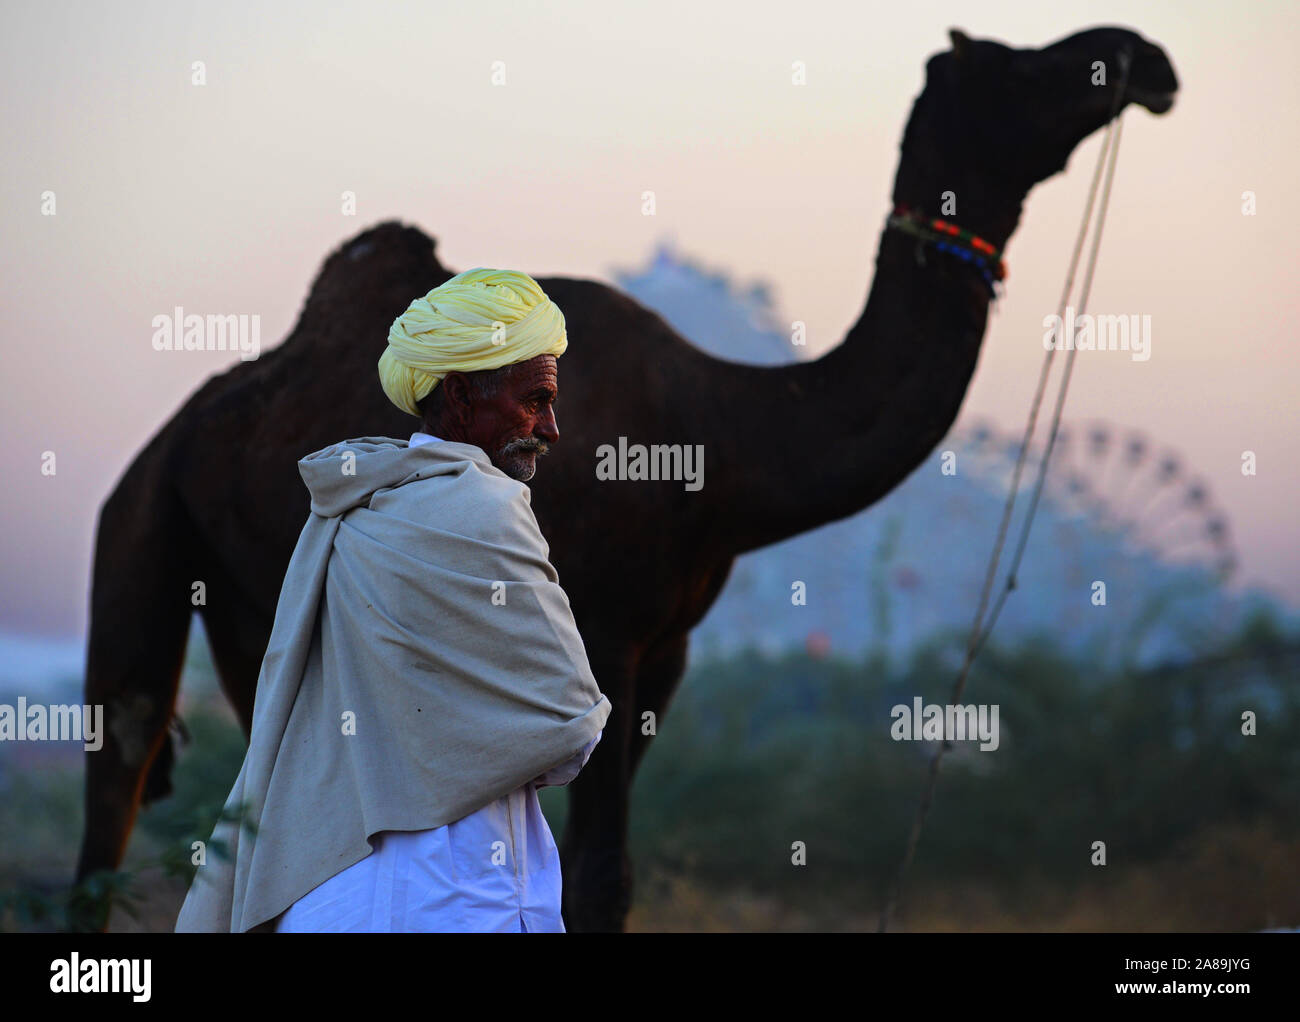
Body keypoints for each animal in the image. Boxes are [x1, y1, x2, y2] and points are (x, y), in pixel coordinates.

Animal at [76, 25, 1185, 930]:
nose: (1142, 55)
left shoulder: (666, 652)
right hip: (136, 525)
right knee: (119, 760)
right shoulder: (596, 633)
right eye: (1019, 65)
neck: (724, 440)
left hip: (253, 614)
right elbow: (597, 873)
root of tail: (170, 437)